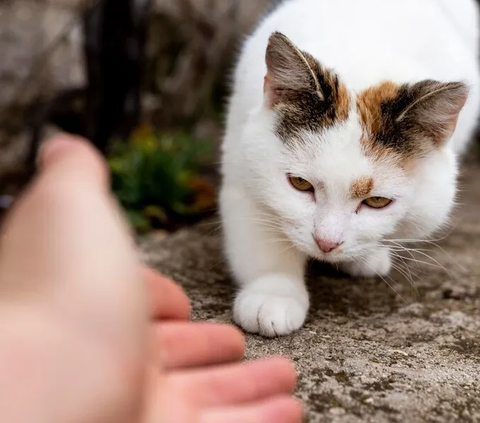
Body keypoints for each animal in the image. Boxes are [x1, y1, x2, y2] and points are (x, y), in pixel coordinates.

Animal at [218, 0, 480, 338]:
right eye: (300, 183)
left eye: (377, 201)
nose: (326, 243)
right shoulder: (241, 163)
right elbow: (262, 241)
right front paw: (273, 293)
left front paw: (367, 255)